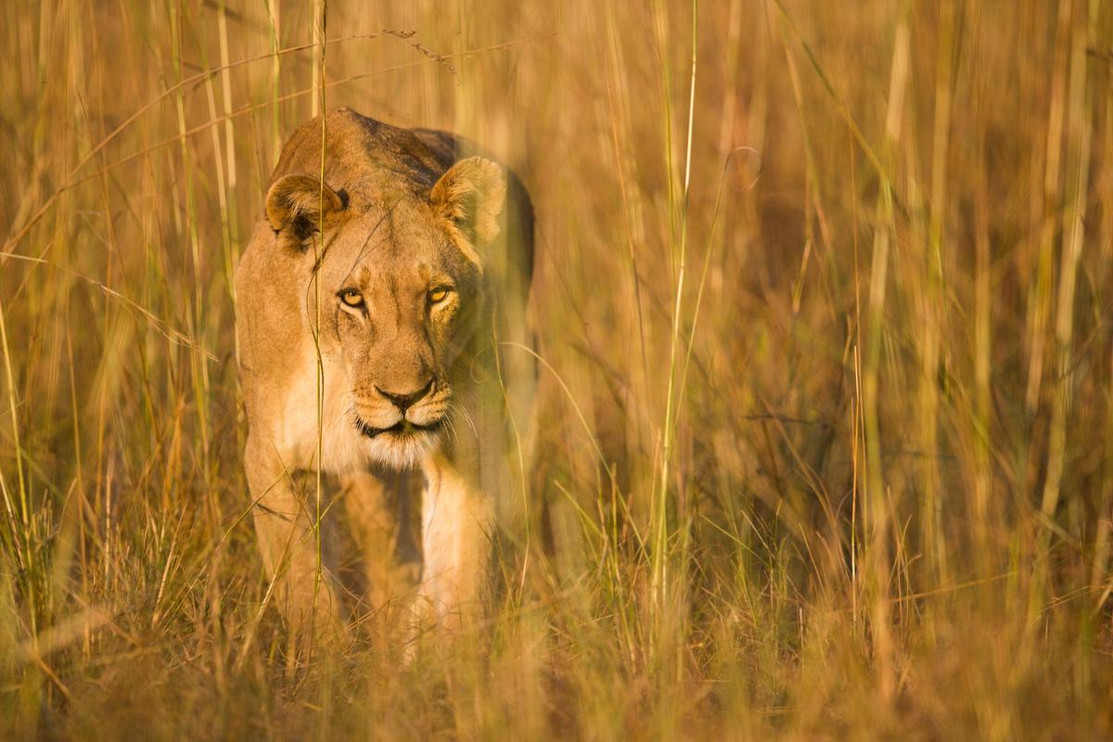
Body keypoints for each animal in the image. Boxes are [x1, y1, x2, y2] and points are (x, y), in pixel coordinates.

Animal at [234, 108, 534, 651]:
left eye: (437, 294)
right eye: (353, 298)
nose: (404, 397)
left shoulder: (472, 449)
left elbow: (462, 574)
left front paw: (454, 662)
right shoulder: (271, 458)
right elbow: (304, 590)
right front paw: (328, 664)